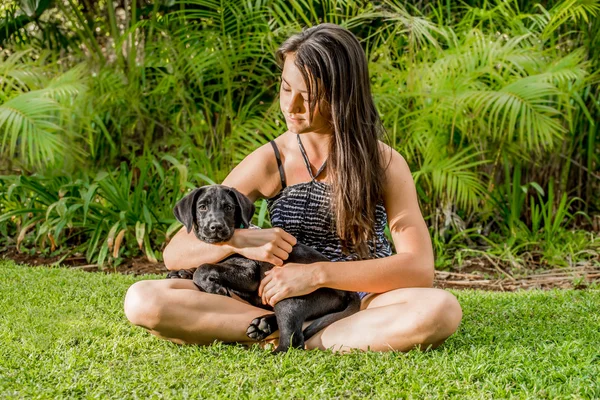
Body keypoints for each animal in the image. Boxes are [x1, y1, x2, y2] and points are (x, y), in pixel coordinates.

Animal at [166, 184, 358, 354]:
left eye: (228, 207)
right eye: (202, 207)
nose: (216, 226)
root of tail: (348, 292)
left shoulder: (249, 272)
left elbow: (204, 266)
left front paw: (213, 286)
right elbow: (203, 264)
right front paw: (181, 272)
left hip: (291, 297)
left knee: (292, 341)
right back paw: (262, 325)